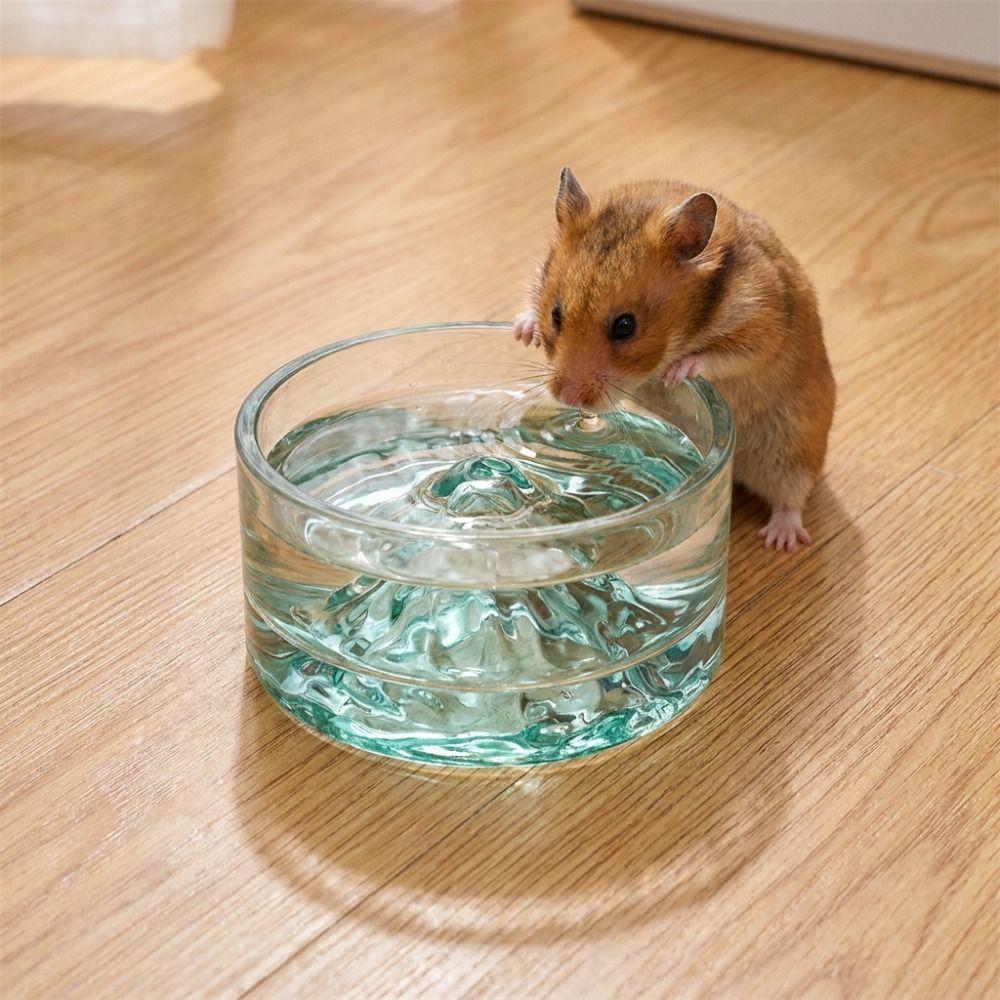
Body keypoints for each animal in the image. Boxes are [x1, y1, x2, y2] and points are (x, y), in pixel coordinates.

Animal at [513, 168, 836, 552]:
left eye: (625, 326)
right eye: (556, 314)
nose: (567, 397)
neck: (690, 321)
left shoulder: (762, 324)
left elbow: (724, 353)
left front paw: (675, 372)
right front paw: (522, 330)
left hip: (792, 449)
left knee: (791, 498)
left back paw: (779, 540)